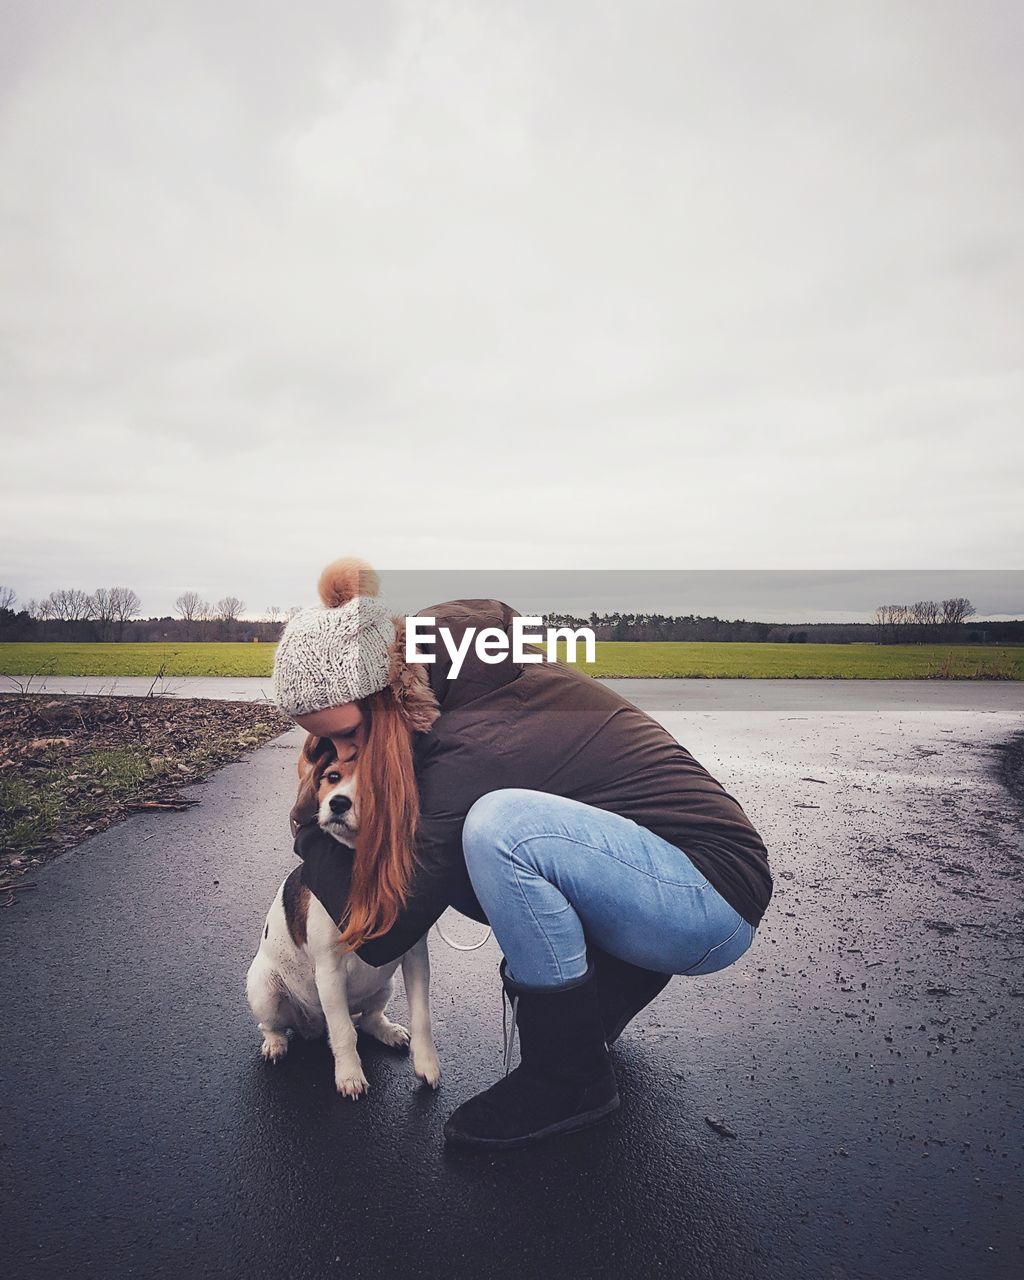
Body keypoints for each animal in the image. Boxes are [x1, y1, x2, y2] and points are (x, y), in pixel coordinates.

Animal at [249, 747, 442, 1095]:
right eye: (333, 776)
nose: (338, 803)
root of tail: (311, 1027)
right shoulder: (330, 971)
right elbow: (342, 1033)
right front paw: (350, 1075)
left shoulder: (415, 956)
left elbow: (422, 1015)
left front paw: (427, 1064)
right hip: (265, 990)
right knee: (273, 1025)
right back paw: (275, 1044)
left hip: (384, 985)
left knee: (367, 1019)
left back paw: (387, 1031)